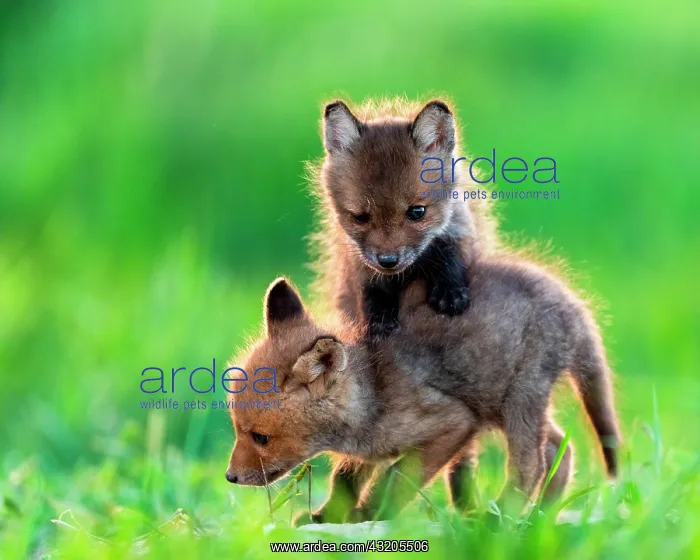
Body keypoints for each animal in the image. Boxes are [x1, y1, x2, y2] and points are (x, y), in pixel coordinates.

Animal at [225, 258, 621, 523]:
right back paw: (540, 515)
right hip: (505, 404)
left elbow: (395, 479)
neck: (373, 400)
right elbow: (344, 480)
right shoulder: (365, 450)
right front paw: (326, 516)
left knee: (530, 465)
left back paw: (502, 516)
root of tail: (569, 301)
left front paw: (368, 515)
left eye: (261, 438)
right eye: (237, 431)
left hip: (519, 399)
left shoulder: (453, 424)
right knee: (559, 449)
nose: (230, 477)